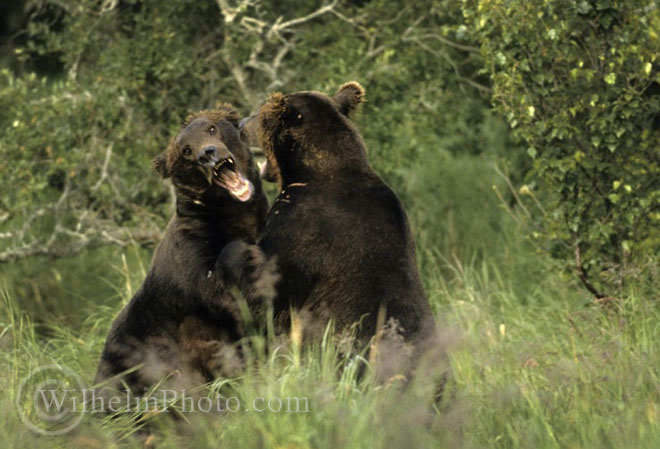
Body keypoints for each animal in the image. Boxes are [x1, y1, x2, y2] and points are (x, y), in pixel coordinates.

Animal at [94, 105, 271, 401]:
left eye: (211, 127)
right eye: (186, 151)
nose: (207, 154)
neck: (234, 213)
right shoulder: (192, 252)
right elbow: (217, 288)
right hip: (134, 357)